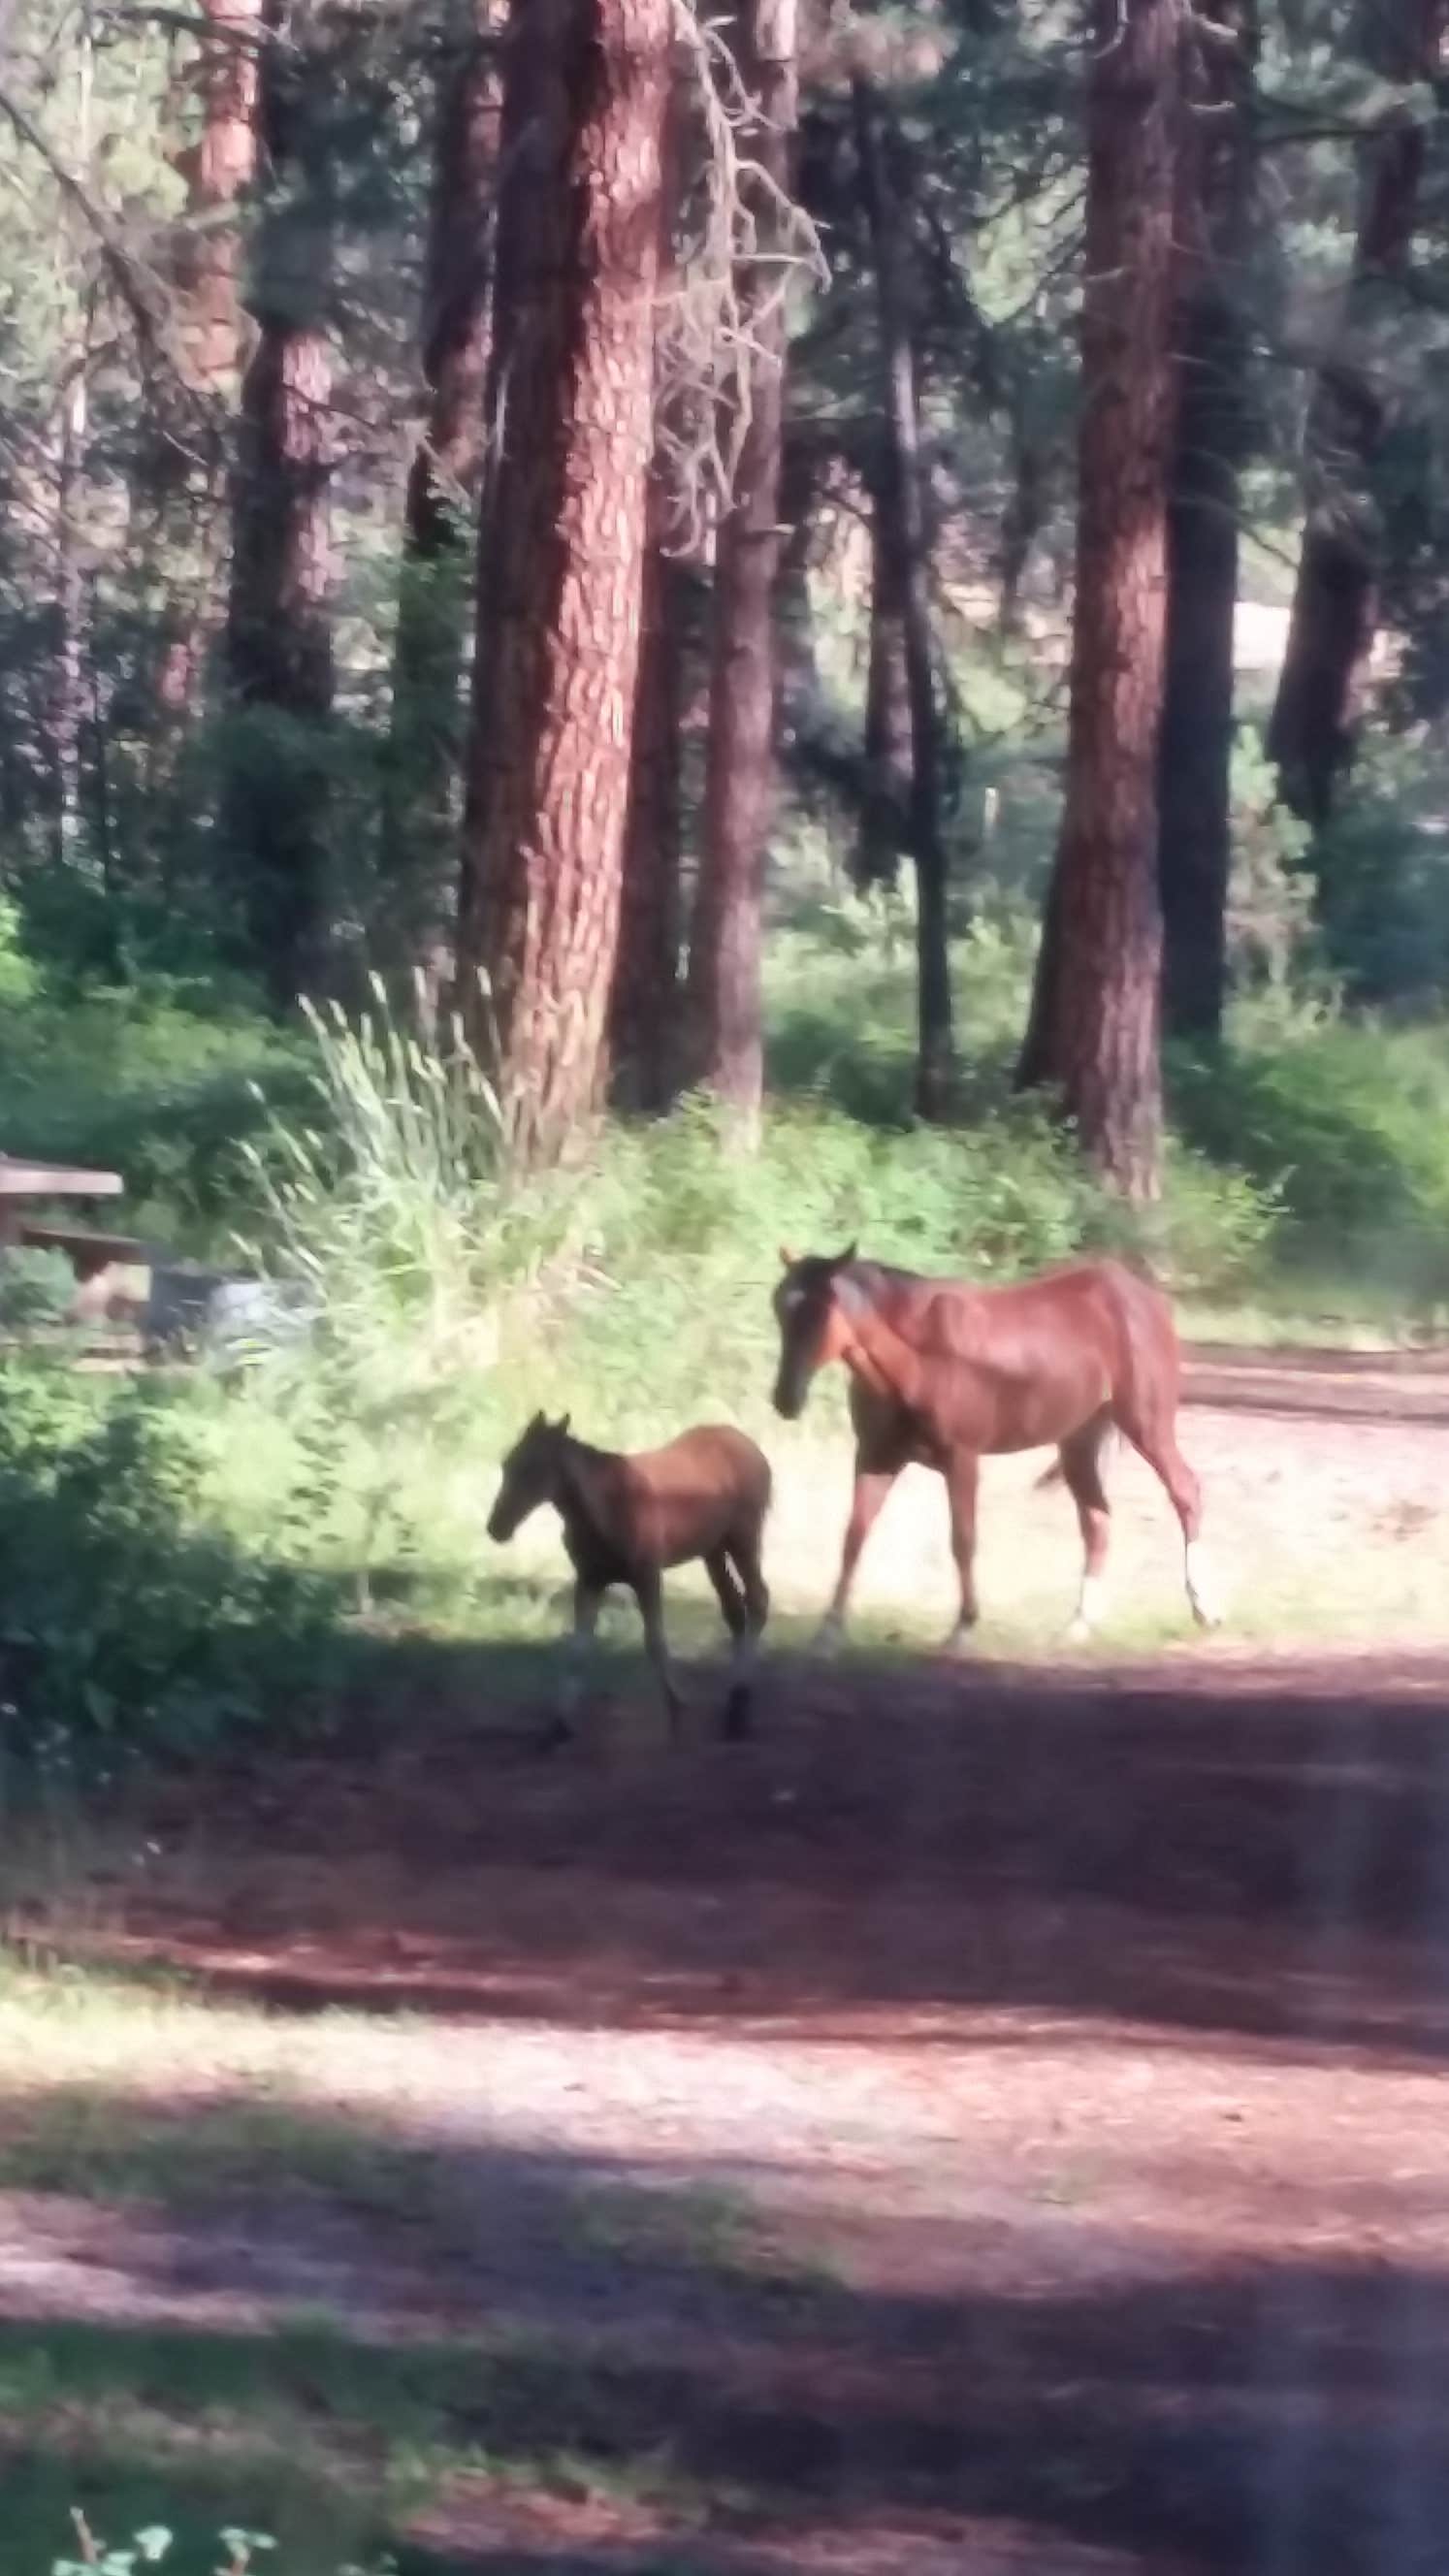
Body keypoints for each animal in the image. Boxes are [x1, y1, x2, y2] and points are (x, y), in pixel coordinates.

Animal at [487, 1422, 768, 1741]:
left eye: (533, 1469)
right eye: (508, 1464)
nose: (497, 1528)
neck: (611, 1505)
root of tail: (750, 1447)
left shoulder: (647, 1577)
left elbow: (655, 1642)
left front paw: (677, 1706)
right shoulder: (589, 1581)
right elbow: (577, 1651)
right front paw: (560, 1724)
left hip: (743, 1540)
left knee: (758, 1600)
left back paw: (739, 1707)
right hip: (713, 1551)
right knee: (734, 1612)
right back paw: (735, 1700)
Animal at [773, 1246, 1211, 1648]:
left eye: (822, 1310)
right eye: (780, 1308)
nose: (784, 1400)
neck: (919, 1358)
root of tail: (1146, 1297)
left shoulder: (961, 1459)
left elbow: (963, 1540)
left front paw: (963, 1627)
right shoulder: (876, 1457)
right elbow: (853, 1537)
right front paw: (828, 1632)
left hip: (1146, 1423)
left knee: (1184, 1491)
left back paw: (1204, 1607)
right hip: (1078, 1442)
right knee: (1097, 1521)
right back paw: (1079, 1625)